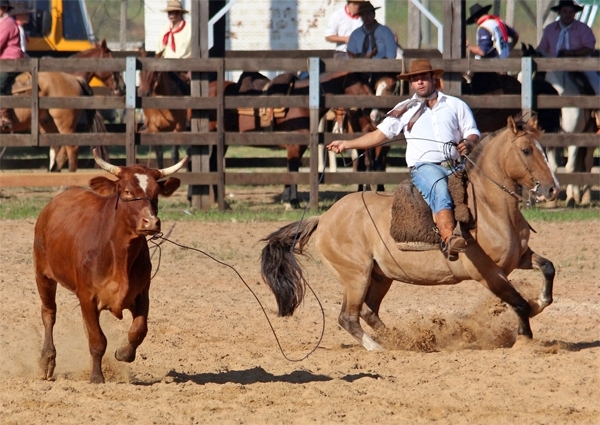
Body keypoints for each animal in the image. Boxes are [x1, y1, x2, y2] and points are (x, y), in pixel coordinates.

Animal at [34, 148, 188, 380]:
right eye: (127, 191)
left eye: (156, 193)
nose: (151, 222)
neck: (119, 255)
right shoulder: (87, 296)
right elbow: (97, 340)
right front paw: (97, 377)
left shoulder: (141, 293)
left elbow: (139, 330)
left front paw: (124, 353)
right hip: (42, 274)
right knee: (49, 314)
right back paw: (46, 361)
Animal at [260, 116, 560, 352]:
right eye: (526, 150)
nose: (552, 190)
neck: (489, 207)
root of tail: (324, 218)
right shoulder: (488, 273)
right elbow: (518, 303)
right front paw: (525, 336)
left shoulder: (519, 258)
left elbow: (548, 268)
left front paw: (539, 302)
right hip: (356, 276)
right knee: (348, 317)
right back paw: (378, 347)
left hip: (379, 277)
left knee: (368, 312)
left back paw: (401, 339)